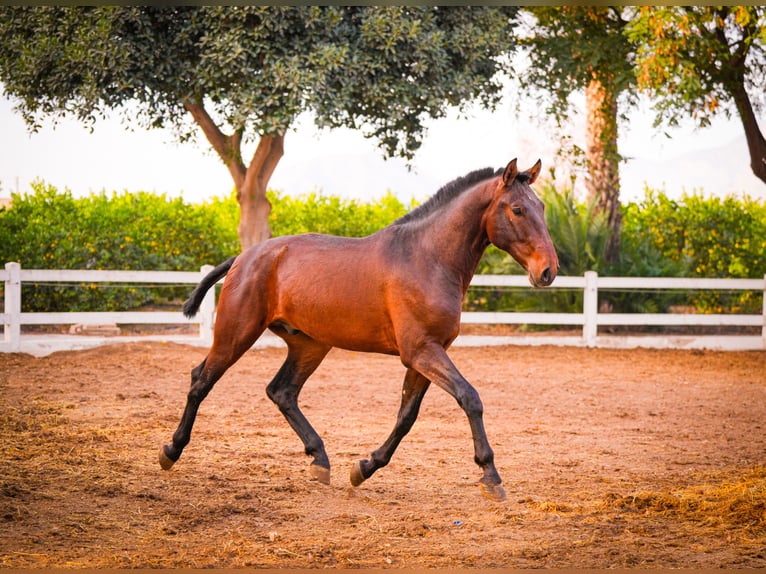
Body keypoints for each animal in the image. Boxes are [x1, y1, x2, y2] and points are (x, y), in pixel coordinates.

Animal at [159, 160, 560, 502]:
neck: (427, 258)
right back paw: (171, 451)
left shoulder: (424, 355)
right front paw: (491, 477)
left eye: (541, 207)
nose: (548, 271)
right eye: (518, 210)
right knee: (201, 380)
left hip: (309, 345)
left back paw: (320, 461)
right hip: (236, 334)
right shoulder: (421, 351)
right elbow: (470, 398)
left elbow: (406, 417)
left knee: (282, 391)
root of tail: (245, 257)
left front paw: (364, 468)